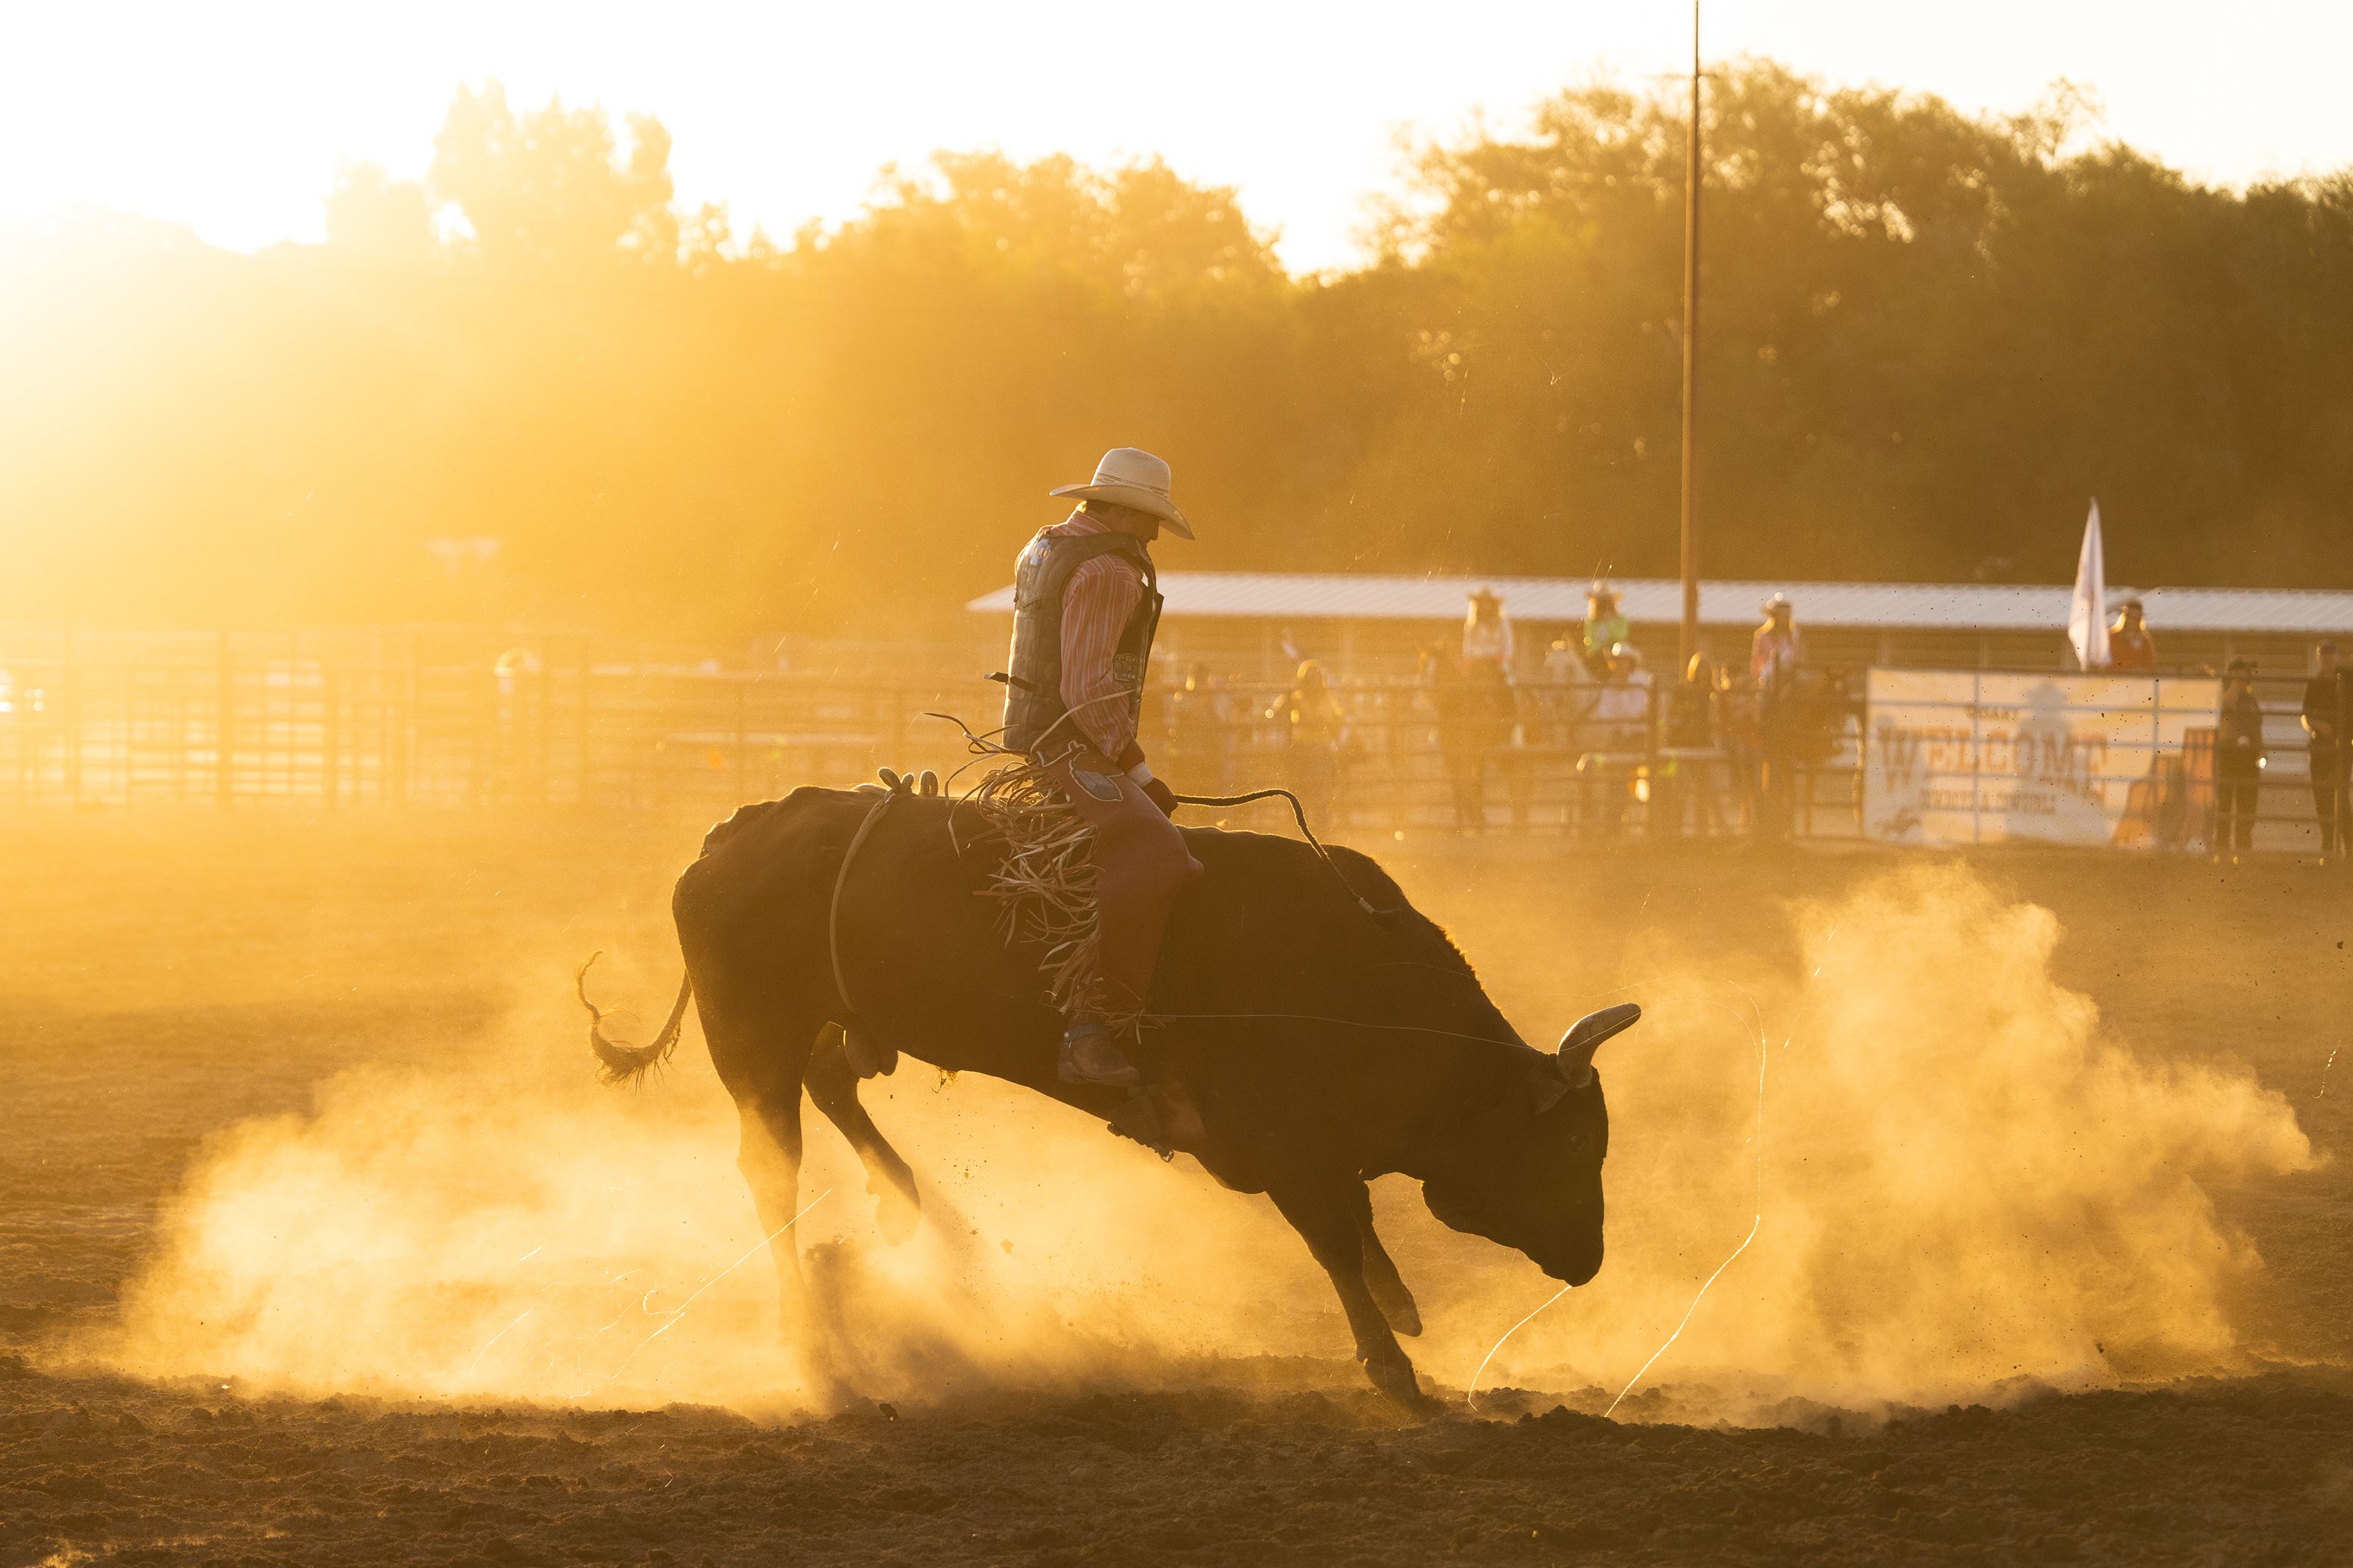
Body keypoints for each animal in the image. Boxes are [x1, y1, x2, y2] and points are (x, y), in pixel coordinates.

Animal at [588, 785, 1638, 1410]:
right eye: (1572, 1146)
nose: (1590, 1259)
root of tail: (731, 834)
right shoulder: (1280, 1147)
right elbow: (1335, 1239)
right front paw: (1392, 1363)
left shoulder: (1311, 1148)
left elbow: (1357, 1226)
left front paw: (1400, 1308)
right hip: (750, 1036)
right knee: (772, 1166)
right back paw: (816, 1350)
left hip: (826, 1019)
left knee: (833, 1086)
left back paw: (914, 1209)